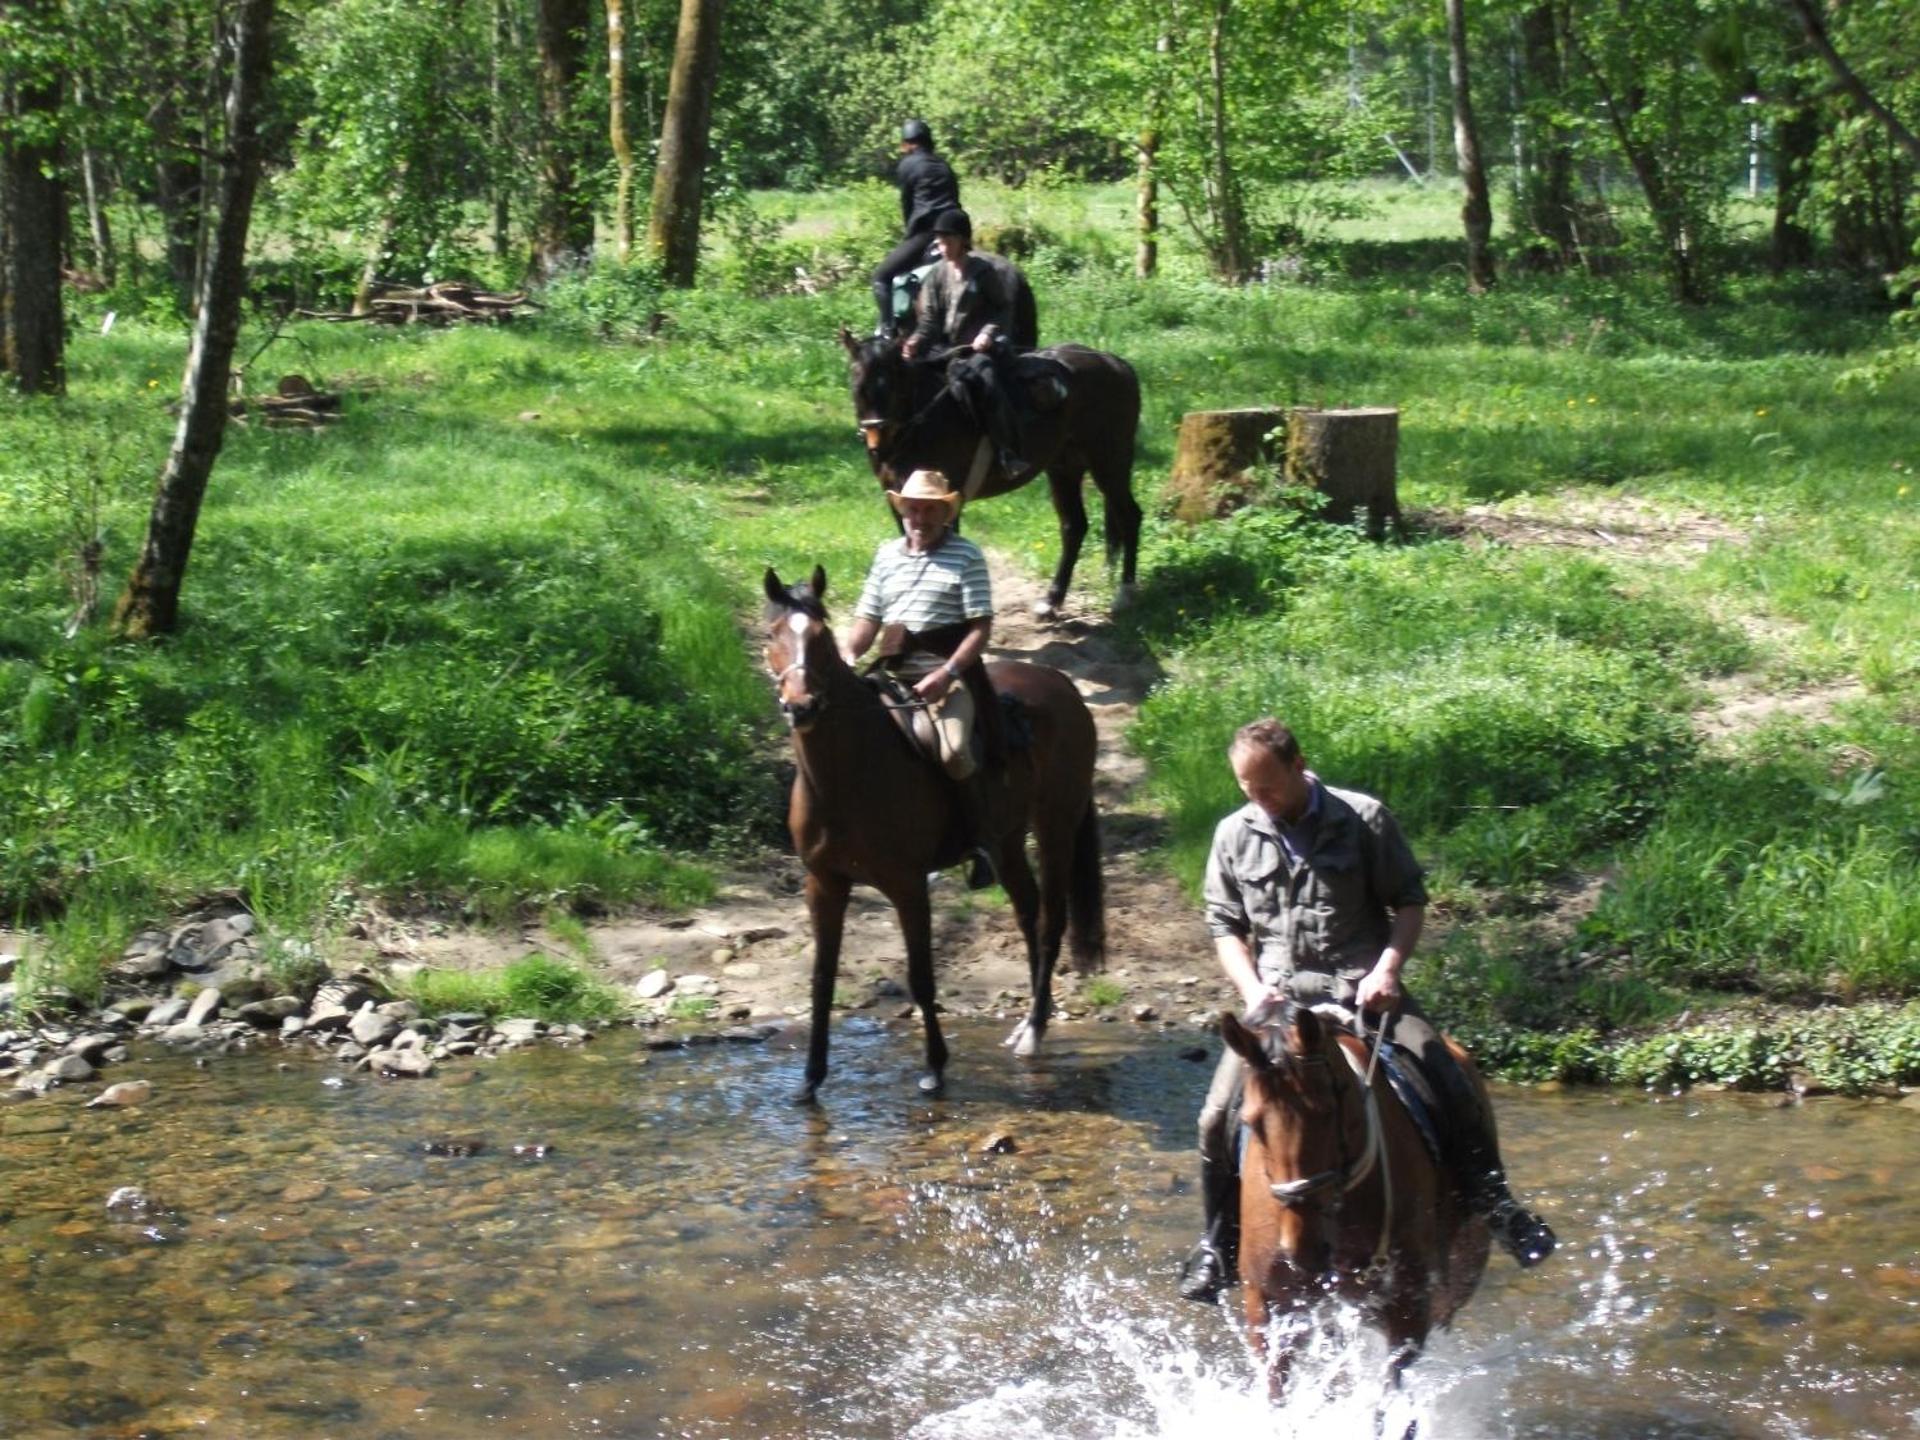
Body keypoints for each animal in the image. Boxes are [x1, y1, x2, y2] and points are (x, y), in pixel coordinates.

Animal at [762, 566, 1105, 1102]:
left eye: (820, 637)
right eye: (771, 636)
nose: (801, 705)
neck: (848, 772)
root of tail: (1064, 687)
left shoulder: (907, 885)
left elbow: (921, 977)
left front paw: (935, 1068)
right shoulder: (824, 884)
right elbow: (822, 978)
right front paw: (810, 1079)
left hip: (1056, 825)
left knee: (1051, 921)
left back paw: (1033, 1031)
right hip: (1007, 839)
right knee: (1027, 912)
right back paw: (1034, 1021)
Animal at [838, 329, 1143, 620]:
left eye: (895, 384)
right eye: (857, 387)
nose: (879, 447)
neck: (923, 423)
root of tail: (1116, 364)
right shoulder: (899, 498)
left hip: (1108, 462)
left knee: (1129, 516)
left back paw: (1124, 593)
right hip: (1064, 468)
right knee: (1074, 526)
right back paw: (1051, 601)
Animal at [1220, 1005, 1490, 1426]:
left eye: (1328, 1111)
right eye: (1251, 1121)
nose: (1303, 1251)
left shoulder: (1409, 1311)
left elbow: (1385, 1400)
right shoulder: (1267, 1306)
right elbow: (1277, 1391)